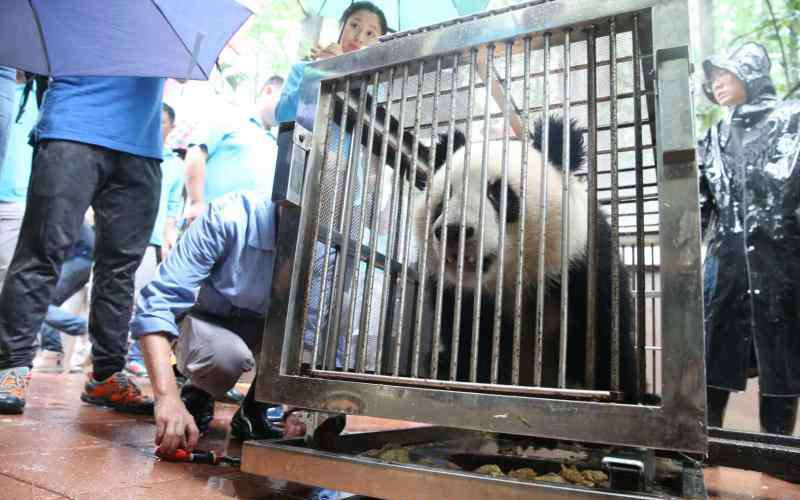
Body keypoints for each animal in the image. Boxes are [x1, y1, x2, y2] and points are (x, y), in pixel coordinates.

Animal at [412, 115, 636, 400]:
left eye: (499, 194)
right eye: (445, 198)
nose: (453, 231)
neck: (514, 280)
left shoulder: (585, 263)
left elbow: (607, 341)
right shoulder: (456, 296)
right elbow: (469, 347)